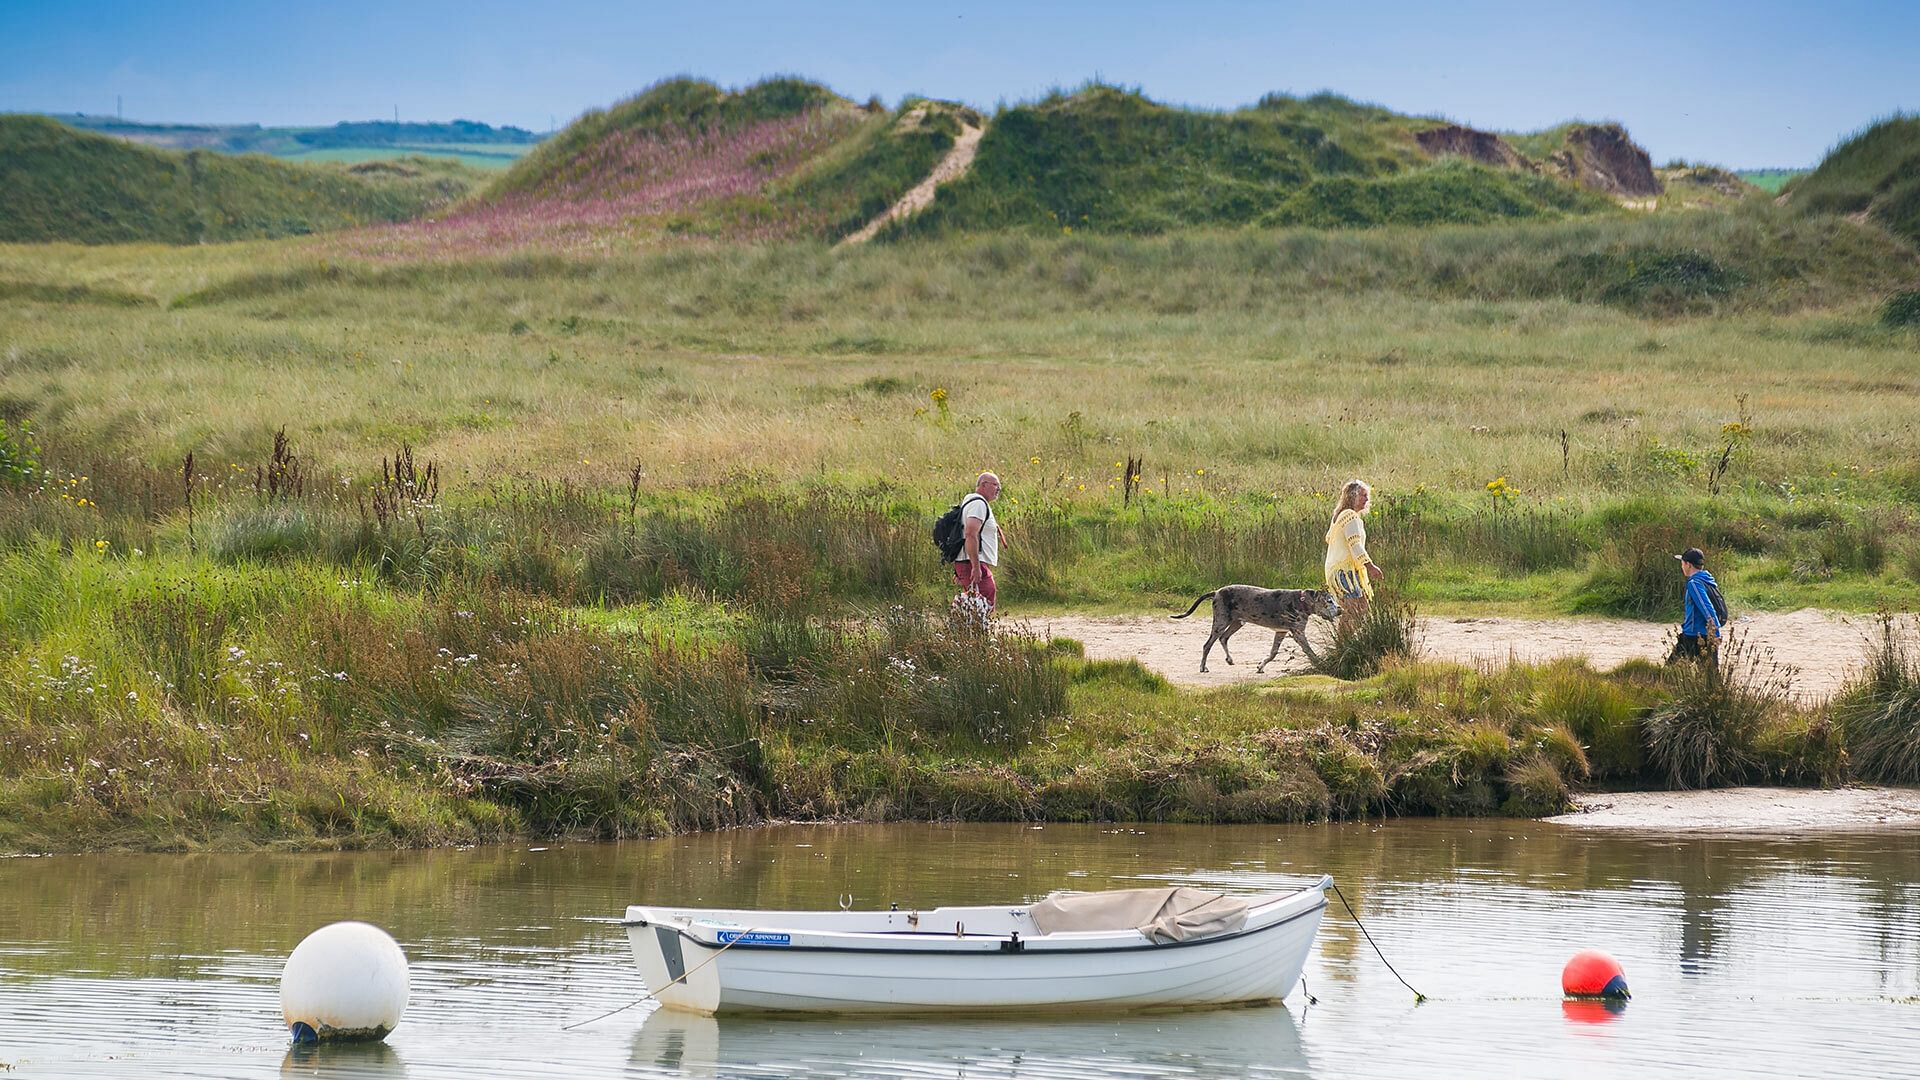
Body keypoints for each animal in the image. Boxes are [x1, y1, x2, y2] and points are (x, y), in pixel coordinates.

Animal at [1159, 584, 1344, 668]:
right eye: (1329, 601)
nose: (1340, 610)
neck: (1303, 602)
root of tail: (1217, 591)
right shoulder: (1298, 633)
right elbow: (1310, 652)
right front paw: (1320, 664)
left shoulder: (1281, 632)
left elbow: (1273, 653)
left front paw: (1261, 666)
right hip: (1220, 622)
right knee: (1207, 644)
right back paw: (1203, 667)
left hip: (1236, 623)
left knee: (1223, 638)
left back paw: (1229, 659)